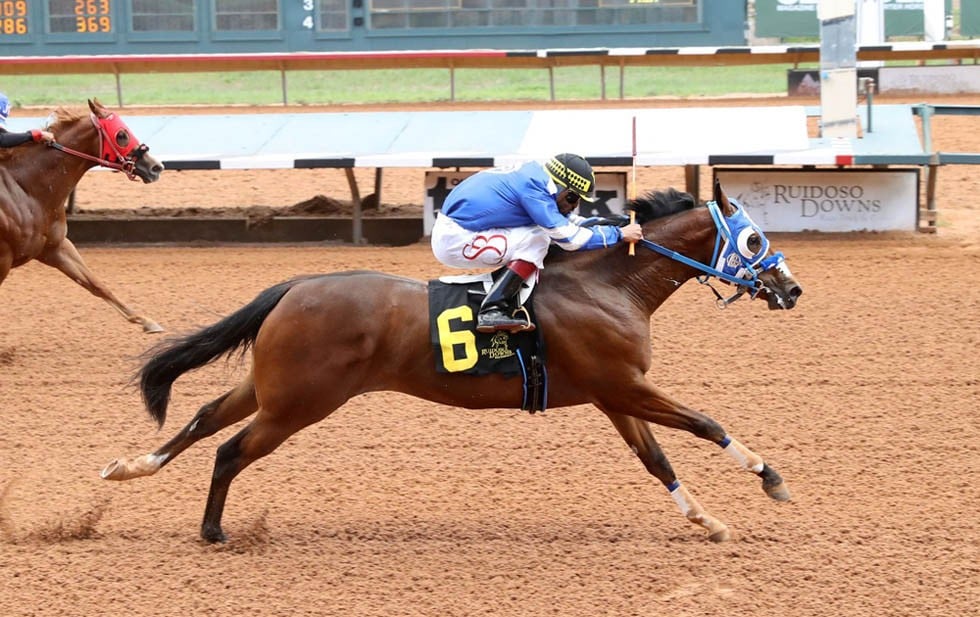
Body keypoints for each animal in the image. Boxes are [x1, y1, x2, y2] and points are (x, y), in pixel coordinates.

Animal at [0, 99, 165, 333]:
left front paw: (146, 321)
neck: (25, 188)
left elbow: (95, 284)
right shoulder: (3, 259)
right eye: (122, 134)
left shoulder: (55, 246)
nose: (156, 167)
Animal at [102, 181, 803, 544]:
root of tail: (296, 285)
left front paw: (707, 519)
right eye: (755, 240)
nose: (791, 289)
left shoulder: (614, 393)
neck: (606, 285)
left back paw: (130, 468)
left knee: (202, 419)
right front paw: (770, 478)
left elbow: (657, 460)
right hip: (299, 402)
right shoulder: (625, 386)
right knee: (229, 449)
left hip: (273, 388)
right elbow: (706, 424)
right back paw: (212, 530)